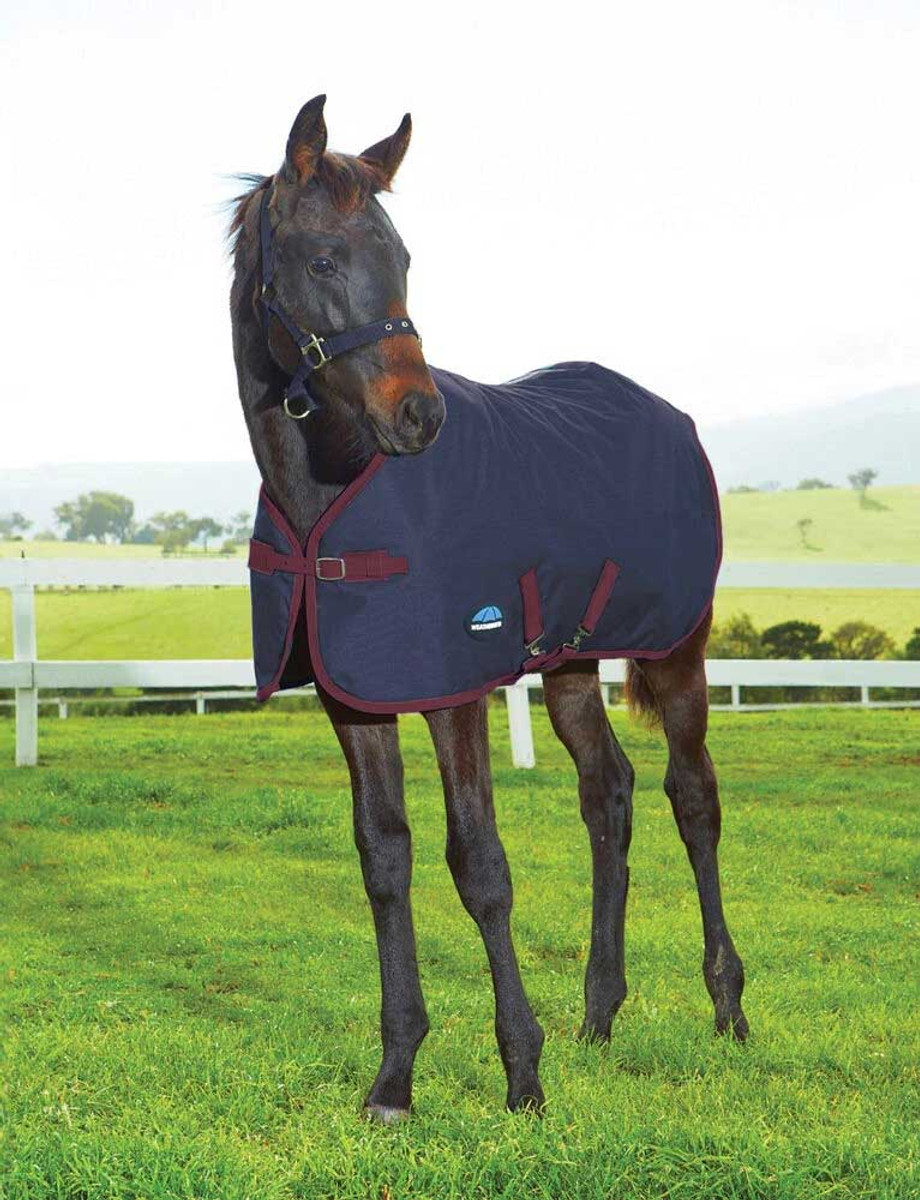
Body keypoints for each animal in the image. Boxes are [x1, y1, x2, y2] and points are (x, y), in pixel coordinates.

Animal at [228, 95, 748, 1120]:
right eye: (322, 260)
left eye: (404, 256)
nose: (419, 416)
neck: (333, 494)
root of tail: (669, 414)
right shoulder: (356, 698)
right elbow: (384, 860)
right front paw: (394, 1080)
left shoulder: (453, 690)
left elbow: (479, 865)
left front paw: (522, 1076)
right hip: (574, 662)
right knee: (608, 793)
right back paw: (599, 1014)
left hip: (678, 650)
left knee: (692, 796)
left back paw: (727, 1007)